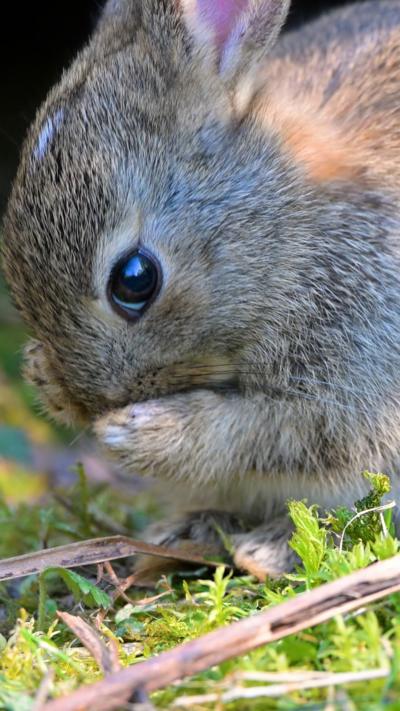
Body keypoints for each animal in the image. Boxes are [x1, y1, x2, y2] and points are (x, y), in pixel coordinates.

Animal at [3, 0, 400, 579]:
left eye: (135, 279)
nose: (95, 401)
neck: (287, 232)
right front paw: (46, 379)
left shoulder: (361, 366)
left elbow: (276, 435)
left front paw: (139, 433)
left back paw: (268, 549)